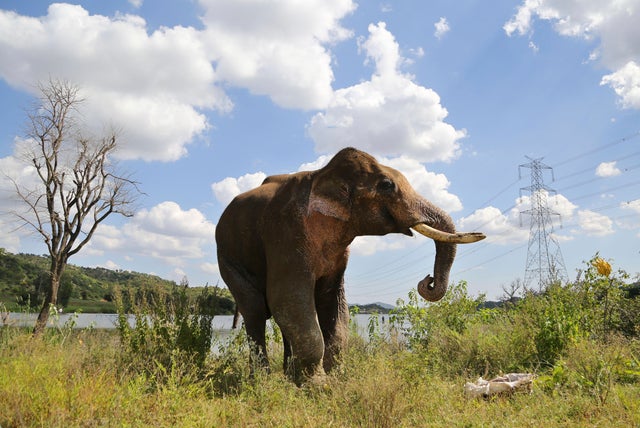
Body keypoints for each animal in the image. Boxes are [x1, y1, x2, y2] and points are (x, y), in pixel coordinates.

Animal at [215, 147, 485, 384]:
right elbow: (287, 297)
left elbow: (332, 302)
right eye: (386, 185)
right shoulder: (285, 233)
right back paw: (261, 381)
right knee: (256, 310)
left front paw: (336, 379)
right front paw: (318, 386)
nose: (427, 280)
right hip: (227, 257)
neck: (322, 174)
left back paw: (289, 377)